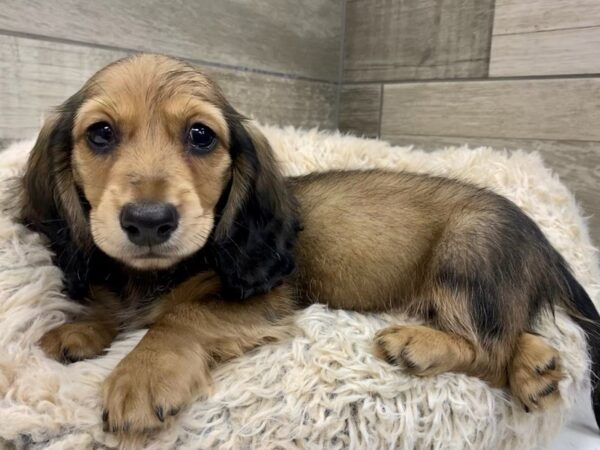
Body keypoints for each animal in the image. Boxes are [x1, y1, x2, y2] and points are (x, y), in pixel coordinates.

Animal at [19, 52, 600, 432]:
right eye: (100, 133)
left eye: (201, 136)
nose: (147, 221)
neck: (157, 274)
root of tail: (544, 242)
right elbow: (115, 309)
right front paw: (80, 328)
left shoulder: (266, 297)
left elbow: (178, 317)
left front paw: (142, 374)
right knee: (514, 335)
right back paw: (537, 367)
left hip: (467, 250)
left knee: (487, 349)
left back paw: (421, 345)